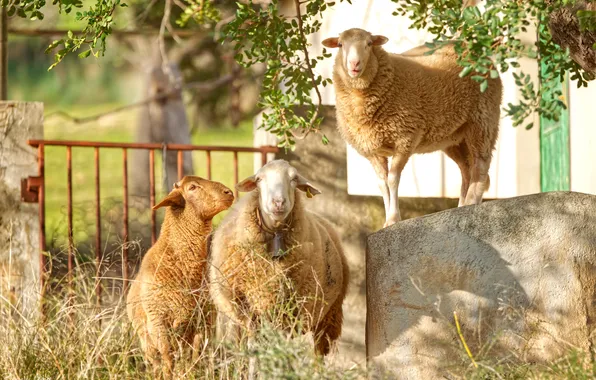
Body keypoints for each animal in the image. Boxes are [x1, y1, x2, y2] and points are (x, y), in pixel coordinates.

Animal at [127, 176, 234, 378]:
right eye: (192, 188)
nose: (229, 193)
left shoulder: (203, 321)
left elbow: (196, 357)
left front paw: (194, 374)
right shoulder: (158, 322)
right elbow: (168, 358)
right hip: (146, 339)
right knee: (157, 362)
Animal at [210, 160, 350, 356]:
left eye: (294, 179)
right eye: (259, 179)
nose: (278, 202)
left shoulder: (288, 311)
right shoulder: (247, 308)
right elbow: (253, 348)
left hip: (327, 316)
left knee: (318, 352)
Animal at [322, 29, 502, 229]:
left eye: (369, 43)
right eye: (340, 45)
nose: (354, 64)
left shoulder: (405, 138)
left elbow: (393, 179)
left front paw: (394, 218)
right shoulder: (372, 150)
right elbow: (382, 184)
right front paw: (387, 221)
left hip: (482, 118)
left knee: (481, 163)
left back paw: (472, 201)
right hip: (454, 136)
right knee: (466, 169)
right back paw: (462, 206)